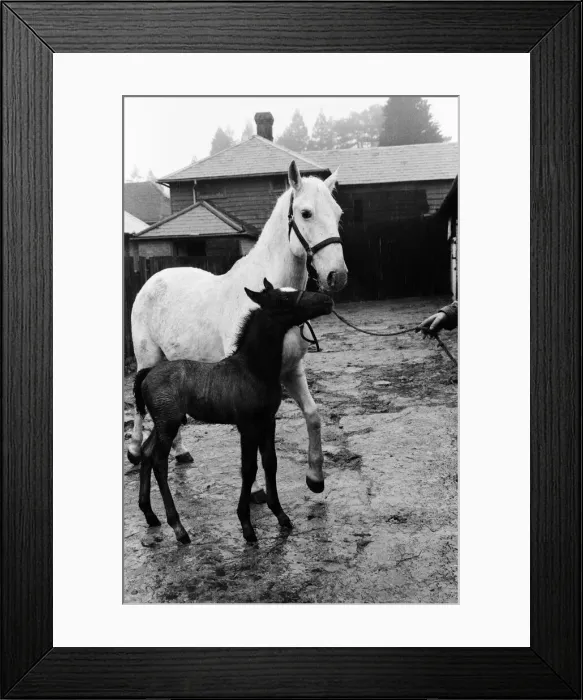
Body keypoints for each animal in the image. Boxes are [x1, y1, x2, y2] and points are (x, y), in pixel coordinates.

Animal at [128, 160, 347, 499]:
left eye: (338, 214)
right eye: (306, 213)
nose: (338, 276)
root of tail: (153, 279)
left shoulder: (292, 370)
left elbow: (313, 416)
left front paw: (315, 478)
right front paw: (256, 490)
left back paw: (181, 451)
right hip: (146, 357)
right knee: (138, 402)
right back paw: (135, 451)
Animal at [133, 281, 334, 543]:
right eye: (283, 300)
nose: (327, 301)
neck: (253, 369)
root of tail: (148, 373)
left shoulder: (268, 422)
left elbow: (270, 462)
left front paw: (281, 515)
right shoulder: (247, 426)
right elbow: (248, 469)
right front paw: (247, 526)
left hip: (163, 423)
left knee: (147, 452)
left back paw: (149, 514)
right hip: (168, 424)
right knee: (159, 462)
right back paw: (178, 528)